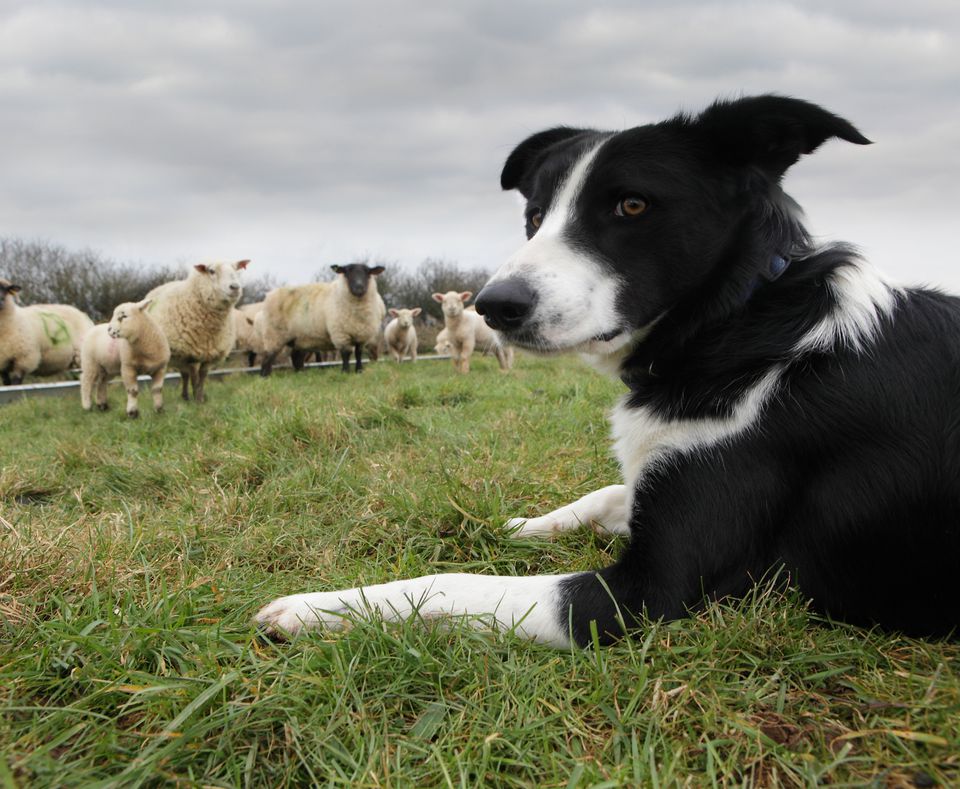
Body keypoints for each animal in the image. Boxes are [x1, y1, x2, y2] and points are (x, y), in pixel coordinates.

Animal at [143, 262, 249, 404]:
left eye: (236, 269)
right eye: (211, 271)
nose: (235, 287)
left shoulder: (209, 354)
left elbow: (202, 376)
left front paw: (200, 396)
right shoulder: (191, 354)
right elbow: (194, 377)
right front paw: (197, 401)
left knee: (184, 374)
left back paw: (185, 396)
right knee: (184, 374)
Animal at [258, 264, 390, 374]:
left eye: (368, 273)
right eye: (347, 272)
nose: (359, 287)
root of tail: (269, 295)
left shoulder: (362, 335)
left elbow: (358, 354)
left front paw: (359, 370)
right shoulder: (341, 334)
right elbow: (346, 354)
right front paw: (345, 371)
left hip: (299, 338)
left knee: (296, 357)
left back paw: (300, 374)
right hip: (274, 335)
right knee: (267, 357)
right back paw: (265, 375)